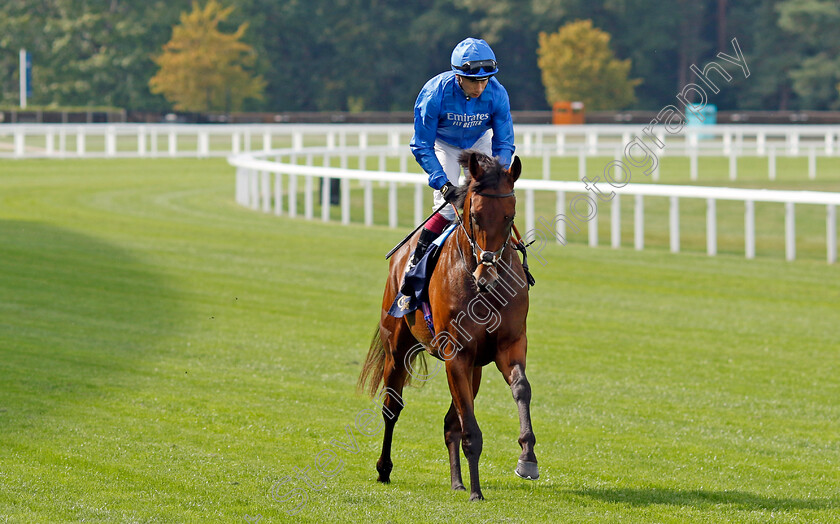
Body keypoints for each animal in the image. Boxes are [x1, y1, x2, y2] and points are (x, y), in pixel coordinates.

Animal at [356, 149, 540, 502]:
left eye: (509, 216)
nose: (487, 277)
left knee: (449, 422)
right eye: (476, 216)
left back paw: (457, 481)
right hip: (396, 350)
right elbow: (469, 426)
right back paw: (384, 469)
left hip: (475, 368)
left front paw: (527, 458)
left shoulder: (509, 345)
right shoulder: (457, 353)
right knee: (391, 407)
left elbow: (521, 388)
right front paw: (477, 492)